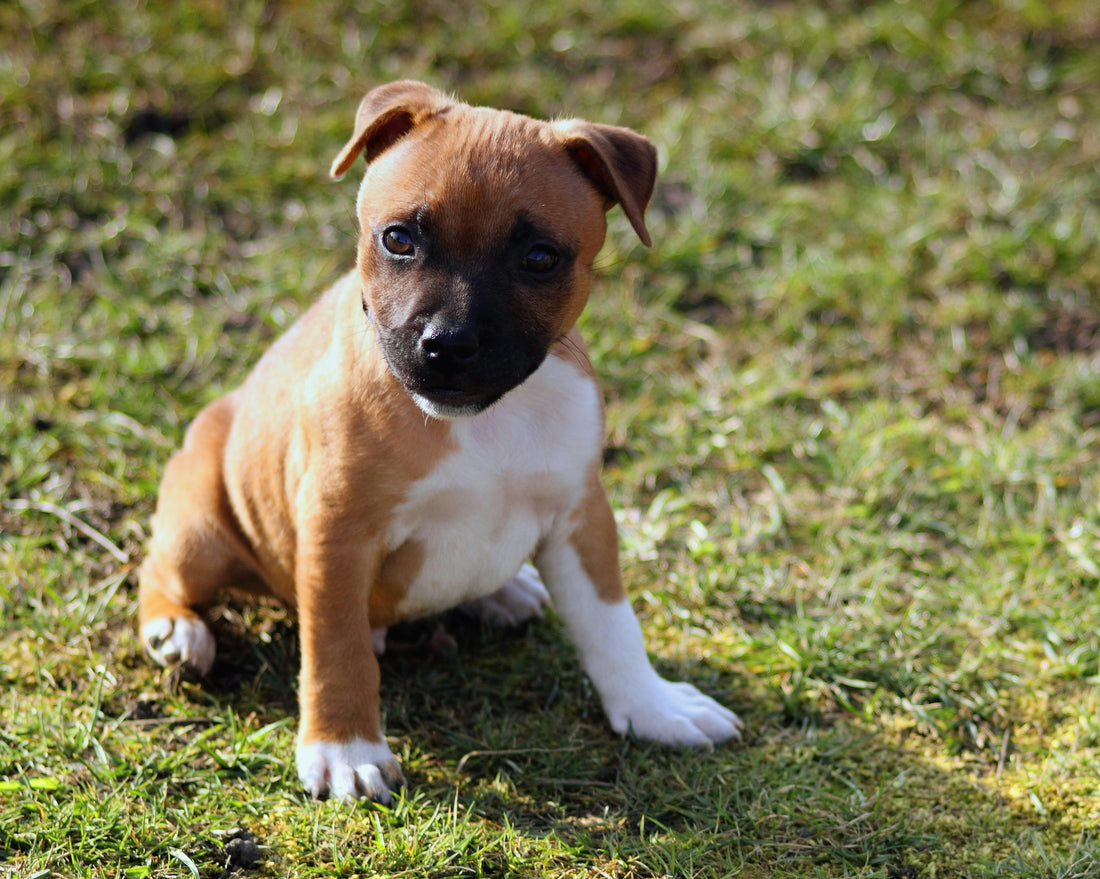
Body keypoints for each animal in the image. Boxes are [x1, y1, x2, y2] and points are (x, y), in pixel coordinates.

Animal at [137, 82, 739, 805]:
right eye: (398, 239)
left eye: (540, 258)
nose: (448, 344)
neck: (484, 420)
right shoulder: (337, 534)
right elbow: (337, 649)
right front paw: (345, 749)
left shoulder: (582, 514)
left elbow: (613, 624)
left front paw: (653, 706)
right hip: (200, 524)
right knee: (161, 570)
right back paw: (177, 628)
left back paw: (505, 591)